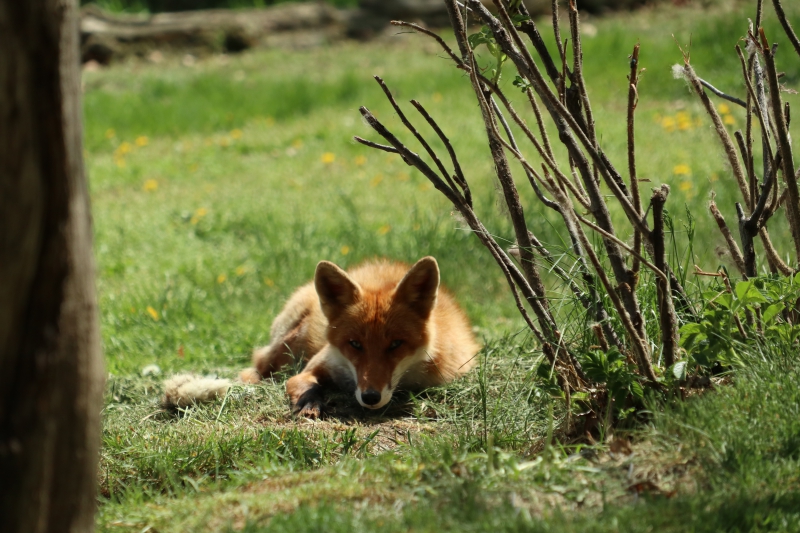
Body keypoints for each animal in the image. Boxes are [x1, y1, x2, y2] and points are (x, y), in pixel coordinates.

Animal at [159, 256, 478, 416]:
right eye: (355, 344)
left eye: (396, 345)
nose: (370, 397)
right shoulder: (319, 364)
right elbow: (299, 382)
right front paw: (309, 401)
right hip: (289, 341)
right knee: (257, 368)